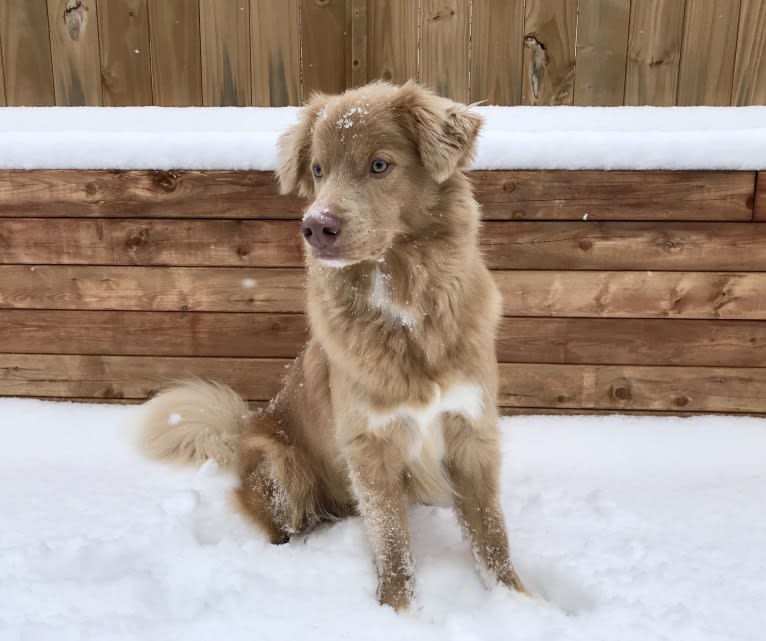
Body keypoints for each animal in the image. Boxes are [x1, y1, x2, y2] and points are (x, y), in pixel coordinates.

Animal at [140, 80, 528, 608]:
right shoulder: (369, 448)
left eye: (380, 164)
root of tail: (243, 428)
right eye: (319, 170)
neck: (404, 312)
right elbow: (392, 544)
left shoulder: (471, 432)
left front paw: (520, 601)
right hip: (280, 465)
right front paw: (397, 610)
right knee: (285, 525)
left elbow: (491, 537)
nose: (315, 227)